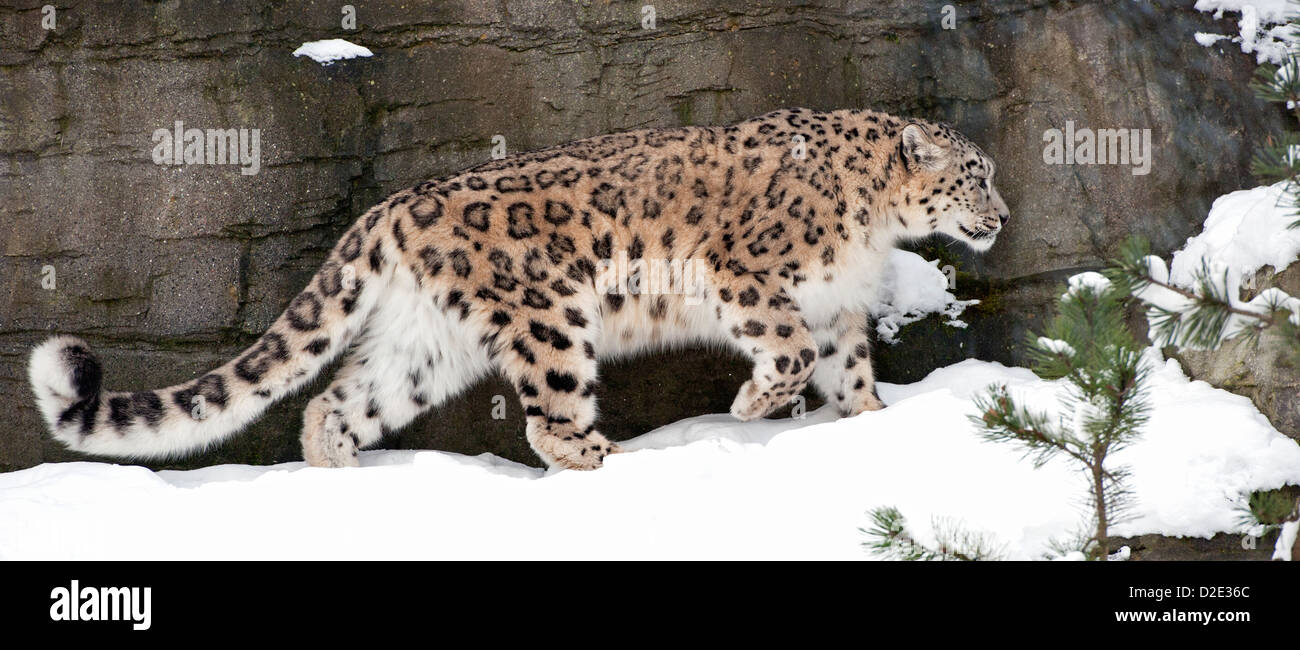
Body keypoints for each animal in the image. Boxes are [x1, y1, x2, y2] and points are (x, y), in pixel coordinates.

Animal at [27, 109, 1003, 470]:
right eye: (974, 175)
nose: (1001, 213)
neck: (874, 229)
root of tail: (393, 207)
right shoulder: (749, 274)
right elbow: (791, 351)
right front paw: (752, 408)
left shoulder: (839, 305)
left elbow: (847, 368)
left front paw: (874, 425)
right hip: (550, 317)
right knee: (549, 417)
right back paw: (611, 459)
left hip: (427, 345)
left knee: (336, 402)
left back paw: (341, 480)